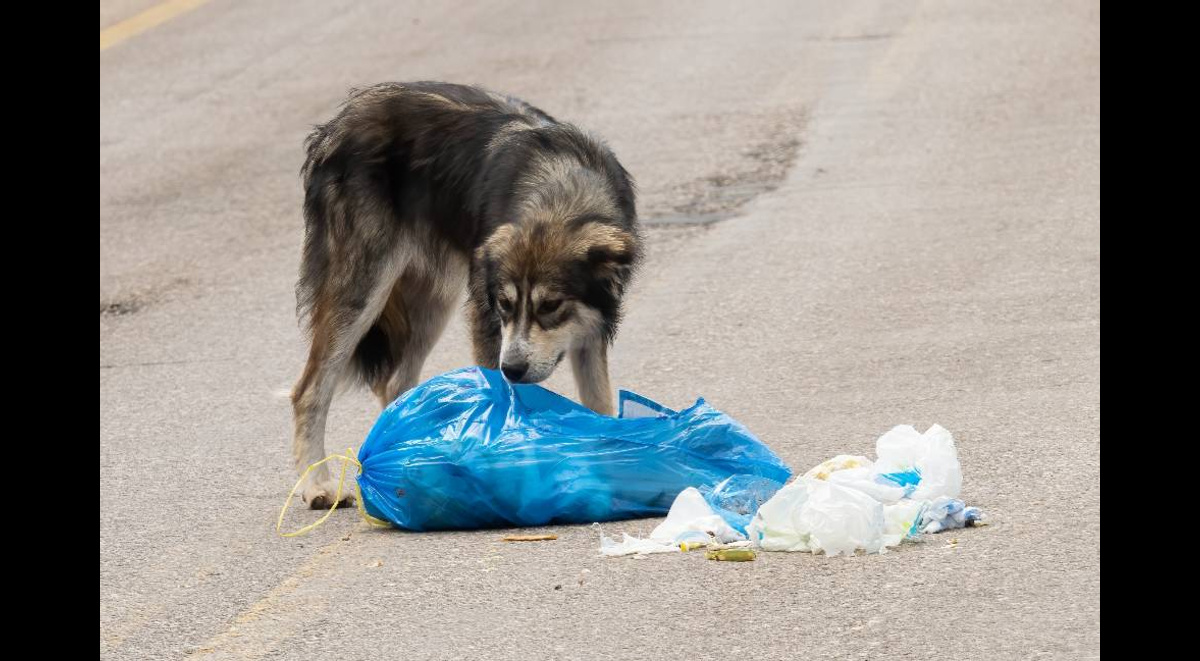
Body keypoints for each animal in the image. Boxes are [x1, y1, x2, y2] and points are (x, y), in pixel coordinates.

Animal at [291, 82, 643, 506]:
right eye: (506, 305)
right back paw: (318, 485)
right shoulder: (487, 320)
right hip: (363, 290)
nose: (513, 369)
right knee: (309, 391)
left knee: (395, 383)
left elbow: (600, 404)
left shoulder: (589, 331)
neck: (560, 194)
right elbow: (503, 404)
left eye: (551, 306)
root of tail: (337, 124)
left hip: (432, 302)